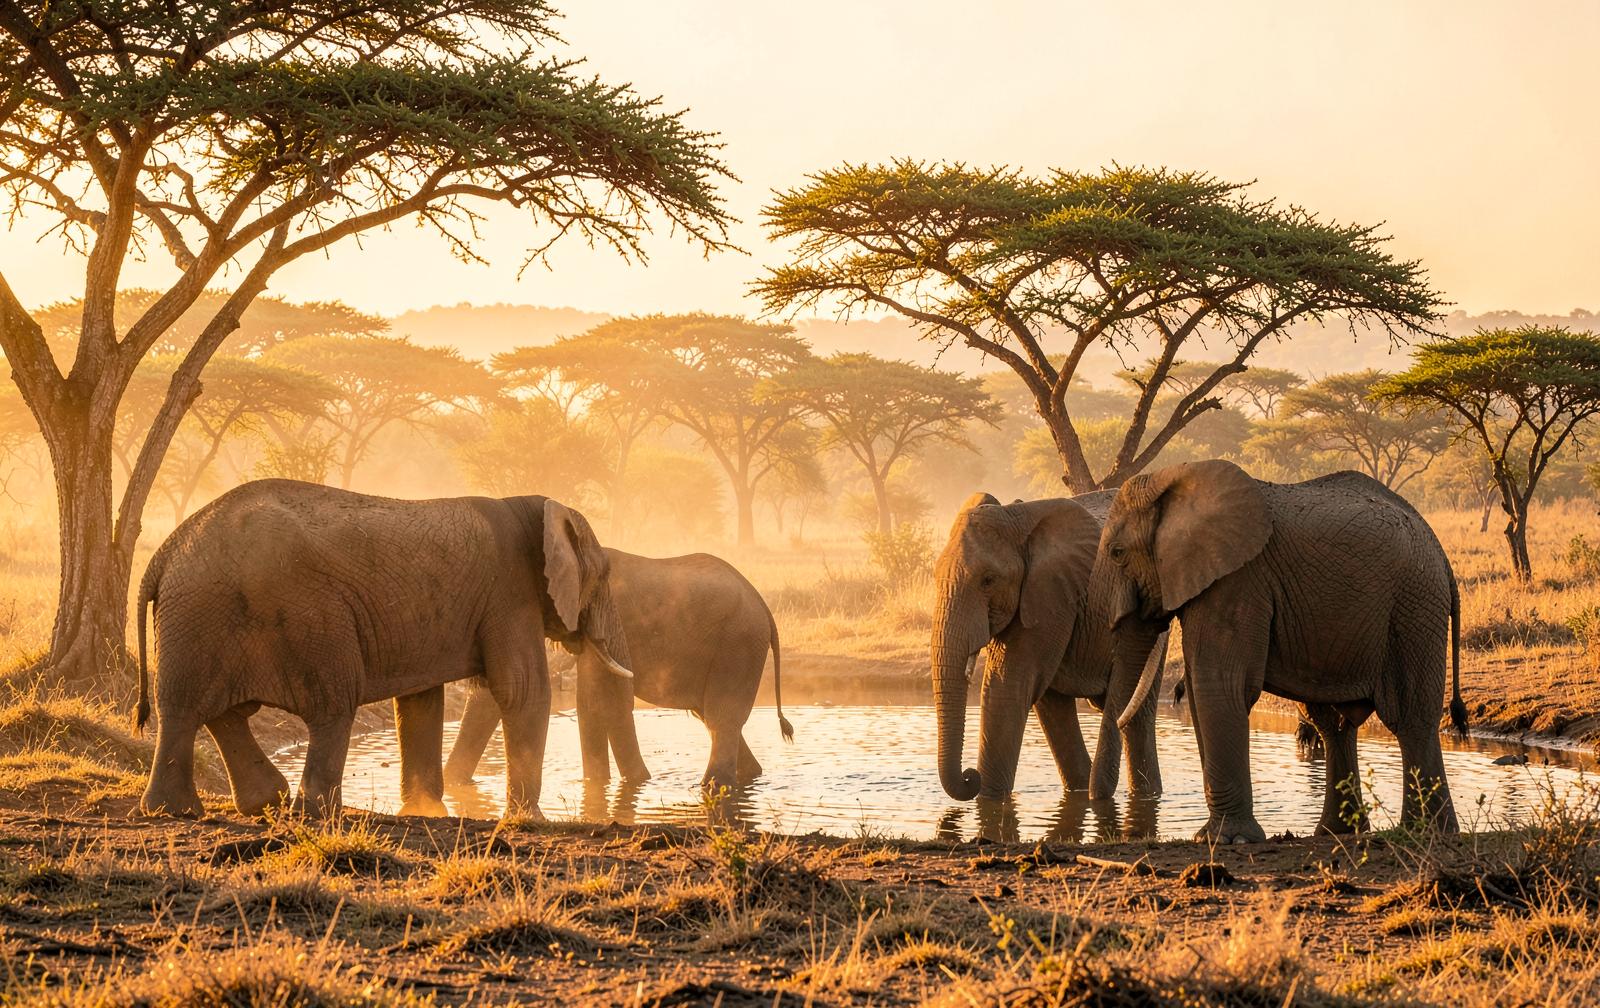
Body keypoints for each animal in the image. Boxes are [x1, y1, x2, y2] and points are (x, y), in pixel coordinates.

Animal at [134, 479, 633, 820]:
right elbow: (522, 689)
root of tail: (165, 554)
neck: (533, 506)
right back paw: (315, 813)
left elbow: (420, 702)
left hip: (199, 618)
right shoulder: (510, 594)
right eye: (605, 575)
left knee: (197, 710)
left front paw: (427, 813)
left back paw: (200, 809)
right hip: (301, 617)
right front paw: (530, 819)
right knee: (332, 702)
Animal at [442, 549, 793, 794]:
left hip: (739, 644)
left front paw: (631, 784)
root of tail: (765, 608)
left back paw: (709, 787)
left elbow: (604, 698)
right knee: (712, 719)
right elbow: (591, 702)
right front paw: (598, 786)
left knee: (721, 719)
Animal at [930, 491, 1168, 810]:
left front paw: (989, 801)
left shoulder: (1049, 594)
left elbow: (1006, 686)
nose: (970, 776)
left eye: (988, 580)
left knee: (1137, 715)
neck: (1014, 519)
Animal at [1097, 459, 1466, 843]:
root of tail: (1440, 553)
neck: (1170, 478)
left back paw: (1425, 833)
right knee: (1333, 724)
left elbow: (1217, 682)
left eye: (1117, 554)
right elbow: (1201, 692)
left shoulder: (1238, 579)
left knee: (1410, 718)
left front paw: (1225, 839)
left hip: (1414, 608)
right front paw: (1215, 837)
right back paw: (1336, 833)